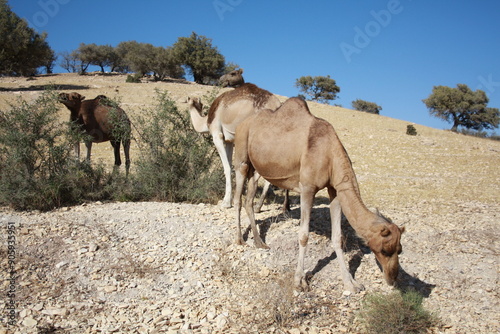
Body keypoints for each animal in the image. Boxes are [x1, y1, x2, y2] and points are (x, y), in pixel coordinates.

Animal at [187, 83, 290, 211]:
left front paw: (226, 202)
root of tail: (277, 105)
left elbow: (227, 167)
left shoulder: (217, 134)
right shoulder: (229, 140)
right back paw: (270, 206)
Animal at [232, 96, 404, 292]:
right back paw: (240, 239)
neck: (330, 154)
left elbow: (337, 237)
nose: (392, 279)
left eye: (399, 250)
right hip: (242, 159)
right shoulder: (307, 187)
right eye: (385, 250)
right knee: (238, 199)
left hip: (256, 168)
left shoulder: (335, 189)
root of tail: (242, 124)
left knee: (249, 201)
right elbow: (304, 235)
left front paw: (351, 283)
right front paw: (300, 281)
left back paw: (259, 242)